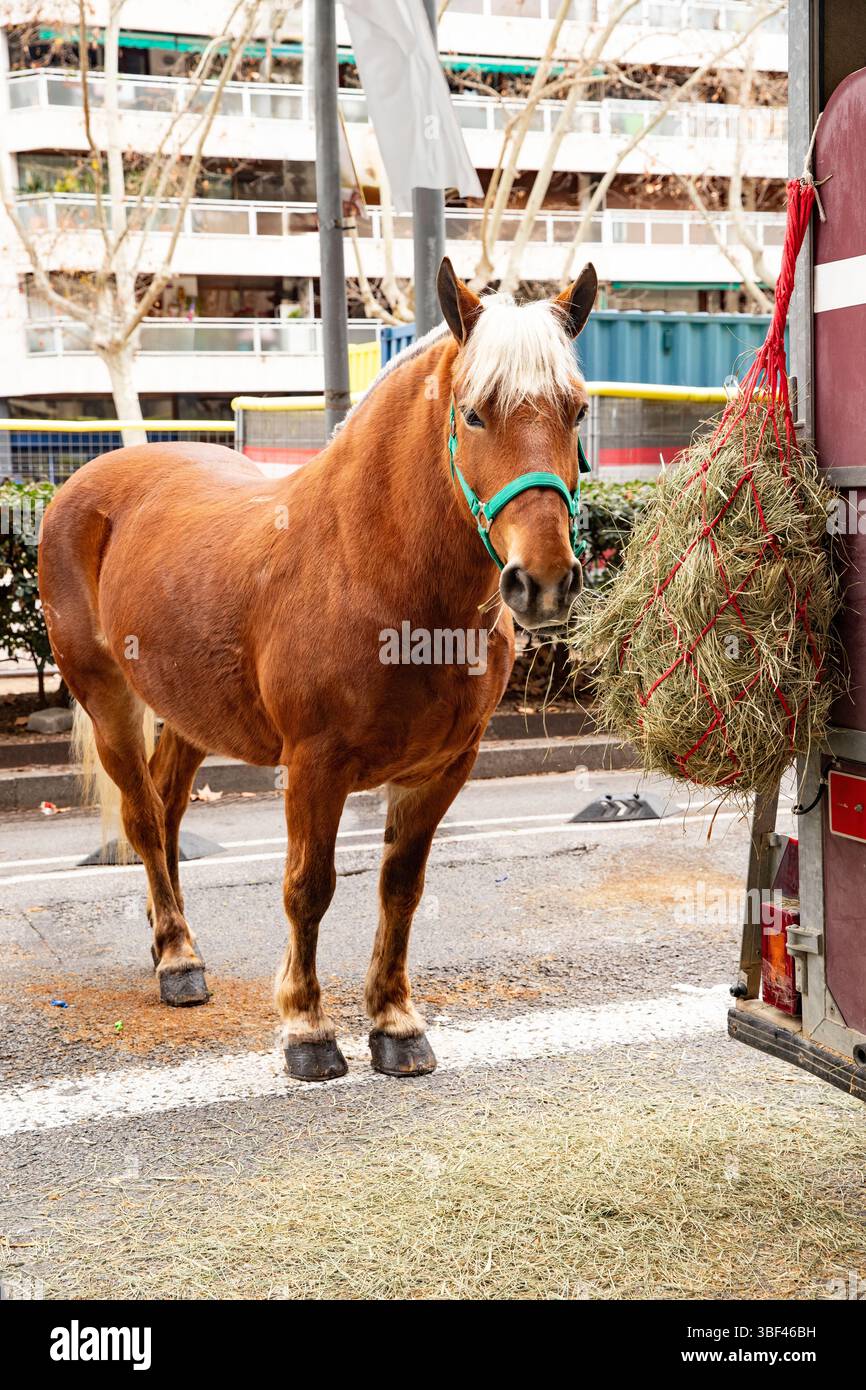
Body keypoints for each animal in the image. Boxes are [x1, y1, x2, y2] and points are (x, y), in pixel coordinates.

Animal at [37, 257, 597, 1083]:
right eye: (473, 414)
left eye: (577, 412)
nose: (546, 580)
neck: (370, 570)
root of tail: (90, 480)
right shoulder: (313, 766)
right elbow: (308, 888)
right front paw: (306, 1028)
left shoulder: (443, 768)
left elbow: (401, 889)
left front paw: (394, 1021)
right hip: (106, 694)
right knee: (141, 815)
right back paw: (177, 957)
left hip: (189, 710)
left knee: (166, 813)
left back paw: (166, 928)